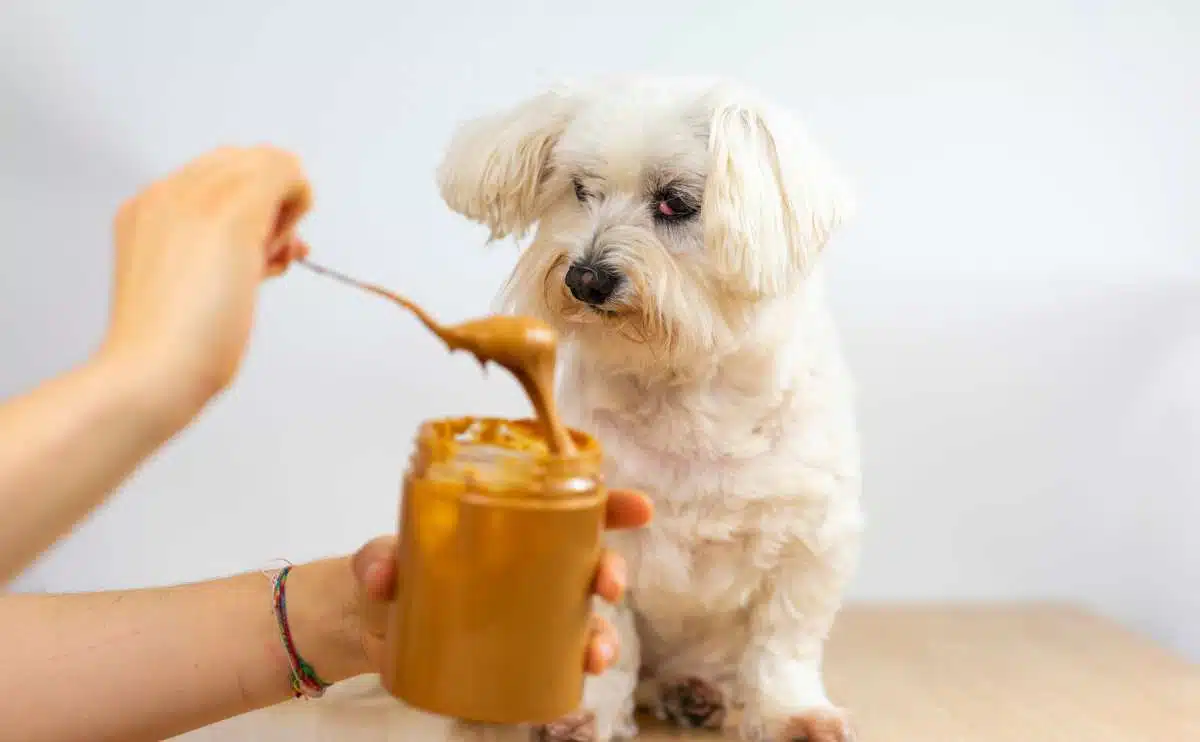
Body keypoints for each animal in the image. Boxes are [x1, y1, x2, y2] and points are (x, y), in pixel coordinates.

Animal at [439, 76, 864, 739]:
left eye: (674, 202)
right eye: (580, 190)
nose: (584, 278)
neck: (683, 389)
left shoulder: (810, 539)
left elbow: (782, 645)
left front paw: (791, 714)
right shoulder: (599, 538)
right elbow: (610, 647)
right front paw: (588, 715)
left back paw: (695, 691)